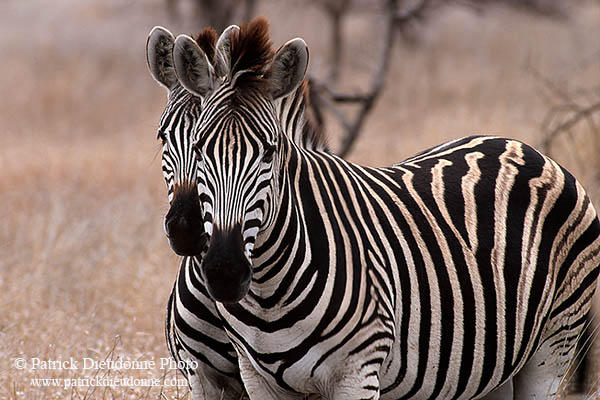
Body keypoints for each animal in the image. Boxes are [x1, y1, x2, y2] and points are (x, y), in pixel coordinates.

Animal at [170, 18, 600, 400]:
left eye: (269, 152)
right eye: (199, 148)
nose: (224, 272)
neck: (268, 295)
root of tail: (522, 147)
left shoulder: (357, 374)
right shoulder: (257, 379)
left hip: (554, 343)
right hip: (491, 370)